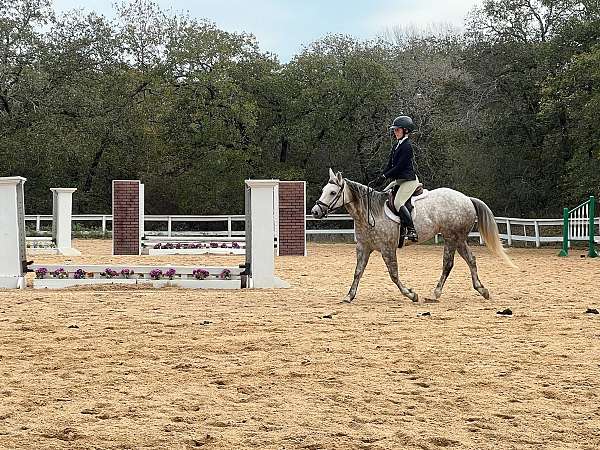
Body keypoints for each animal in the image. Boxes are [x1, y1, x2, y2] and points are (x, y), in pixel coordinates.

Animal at [310, 171, 516, 304]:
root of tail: (466, 198)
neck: (368, 213)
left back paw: (435, 294)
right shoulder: (363, 247)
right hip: (459, 239)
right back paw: (482, 289)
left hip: (451, 238)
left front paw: (411, 294)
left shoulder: (387, 249)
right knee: (471, 260)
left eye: (333, 192)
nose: (315, 212)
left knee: (448, 264)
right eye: (323, 190)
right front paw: (349, 296)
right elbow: (357, 272)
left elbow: (393, 275)